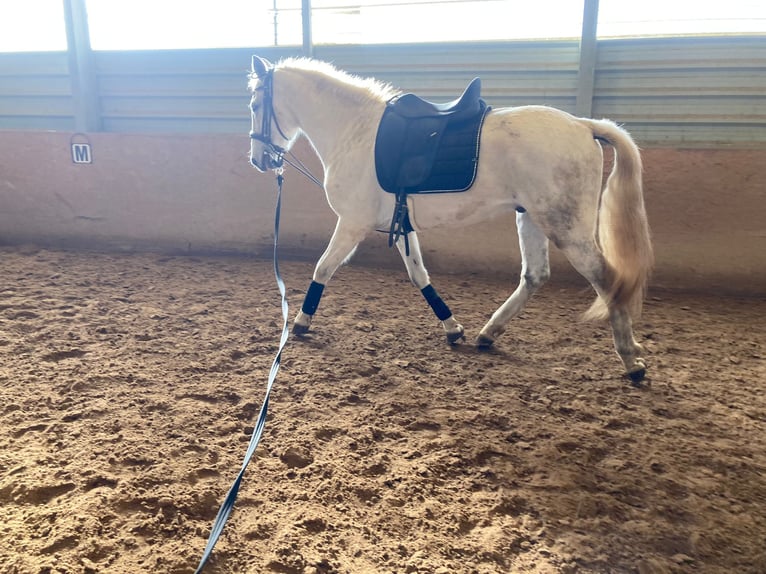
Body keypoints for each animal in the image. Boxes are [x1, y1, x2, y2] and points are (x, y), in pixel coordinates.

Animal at [249, 57, 656, 382]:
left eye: (254, 104)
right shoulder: (402, 227)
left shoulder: (352, 223)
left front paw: (301, 323)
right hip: (532, 218)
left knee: (606, 278)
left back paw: (630, 361)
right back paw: (488, 333)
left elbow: (323, 268)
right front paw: (452, 328)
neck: (355, 132)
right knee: (535, 275)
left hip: (565, 226)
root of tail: (584, 125)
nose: (259, 160)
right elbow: (420, 276)